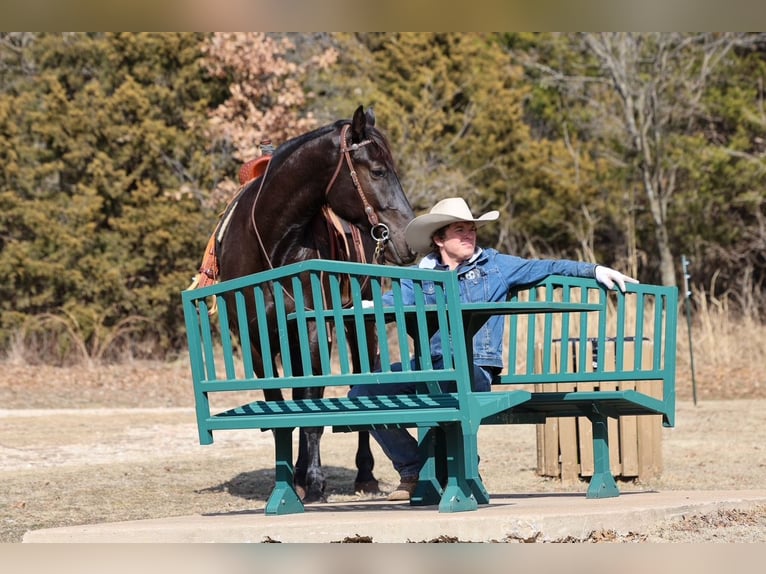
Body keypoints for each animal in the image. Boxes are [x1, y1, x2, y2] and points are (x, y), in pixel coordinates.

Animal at [215, 106, 416, 502]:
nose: (407, 238)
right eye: (377, 171)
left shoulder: (312, 331)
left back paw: (363, 474)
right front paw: (289, 481)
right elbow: (283, 413)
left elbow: (311, 410)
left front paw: (316, 482)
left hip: (360, 323)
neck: (272, 243)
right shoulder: (257, 341)